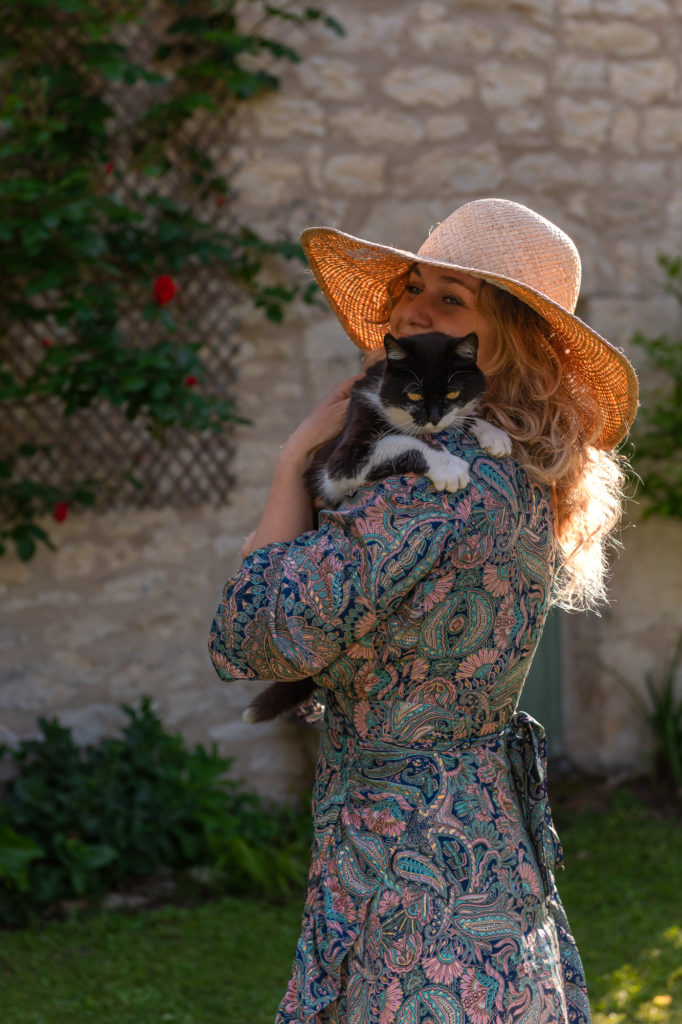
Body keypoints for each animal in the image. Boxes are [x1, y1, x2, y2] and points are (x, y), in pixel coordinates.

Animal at [241, 331, 507, 724]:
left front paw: (493, 432)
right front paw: (448, 465)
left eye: (451, 393)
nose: (432, 419)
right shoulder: (340, 463)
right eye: (414, 394)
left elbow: (460, 419)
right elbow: (398, 440)